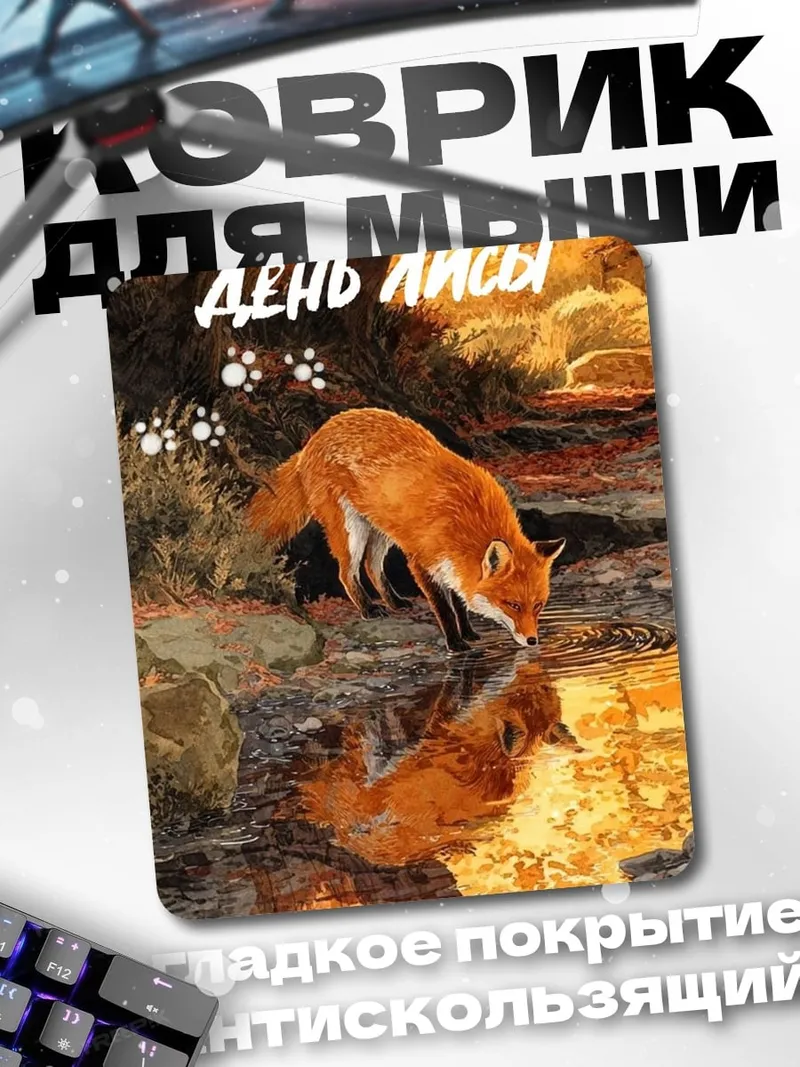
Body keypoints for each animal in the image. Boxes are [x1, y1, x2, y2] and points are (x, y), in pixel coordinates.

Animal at [247, 407, 566, 653]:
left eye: (538, 605)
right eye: (513, 604)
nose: (533, 641)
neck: (468, 517)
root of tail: (312, 441)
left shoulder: (451, 565)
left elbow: (459, 601)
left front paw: (468, 632)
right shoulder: (422, 561)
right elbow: (445, 608)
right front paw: (455, 642)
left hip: (382, 531)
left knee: (371, 566)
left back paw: (395, 602)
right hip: (351, 531)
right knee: (347, 573)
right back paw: (368, 609)